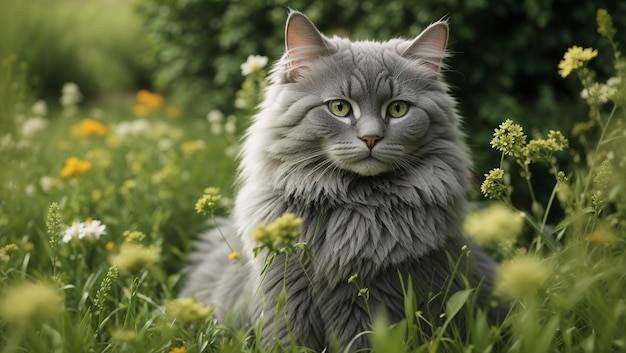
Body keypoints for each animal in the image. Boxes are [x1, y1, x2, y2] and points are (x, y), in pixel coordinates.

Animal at [179, 9, 502, 350]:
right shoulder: (287, 293)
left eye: (397, 109)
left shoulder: (371, 301)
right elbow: (287, 338)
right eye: (339, 107)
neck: (353, 206)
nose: (371, 138)